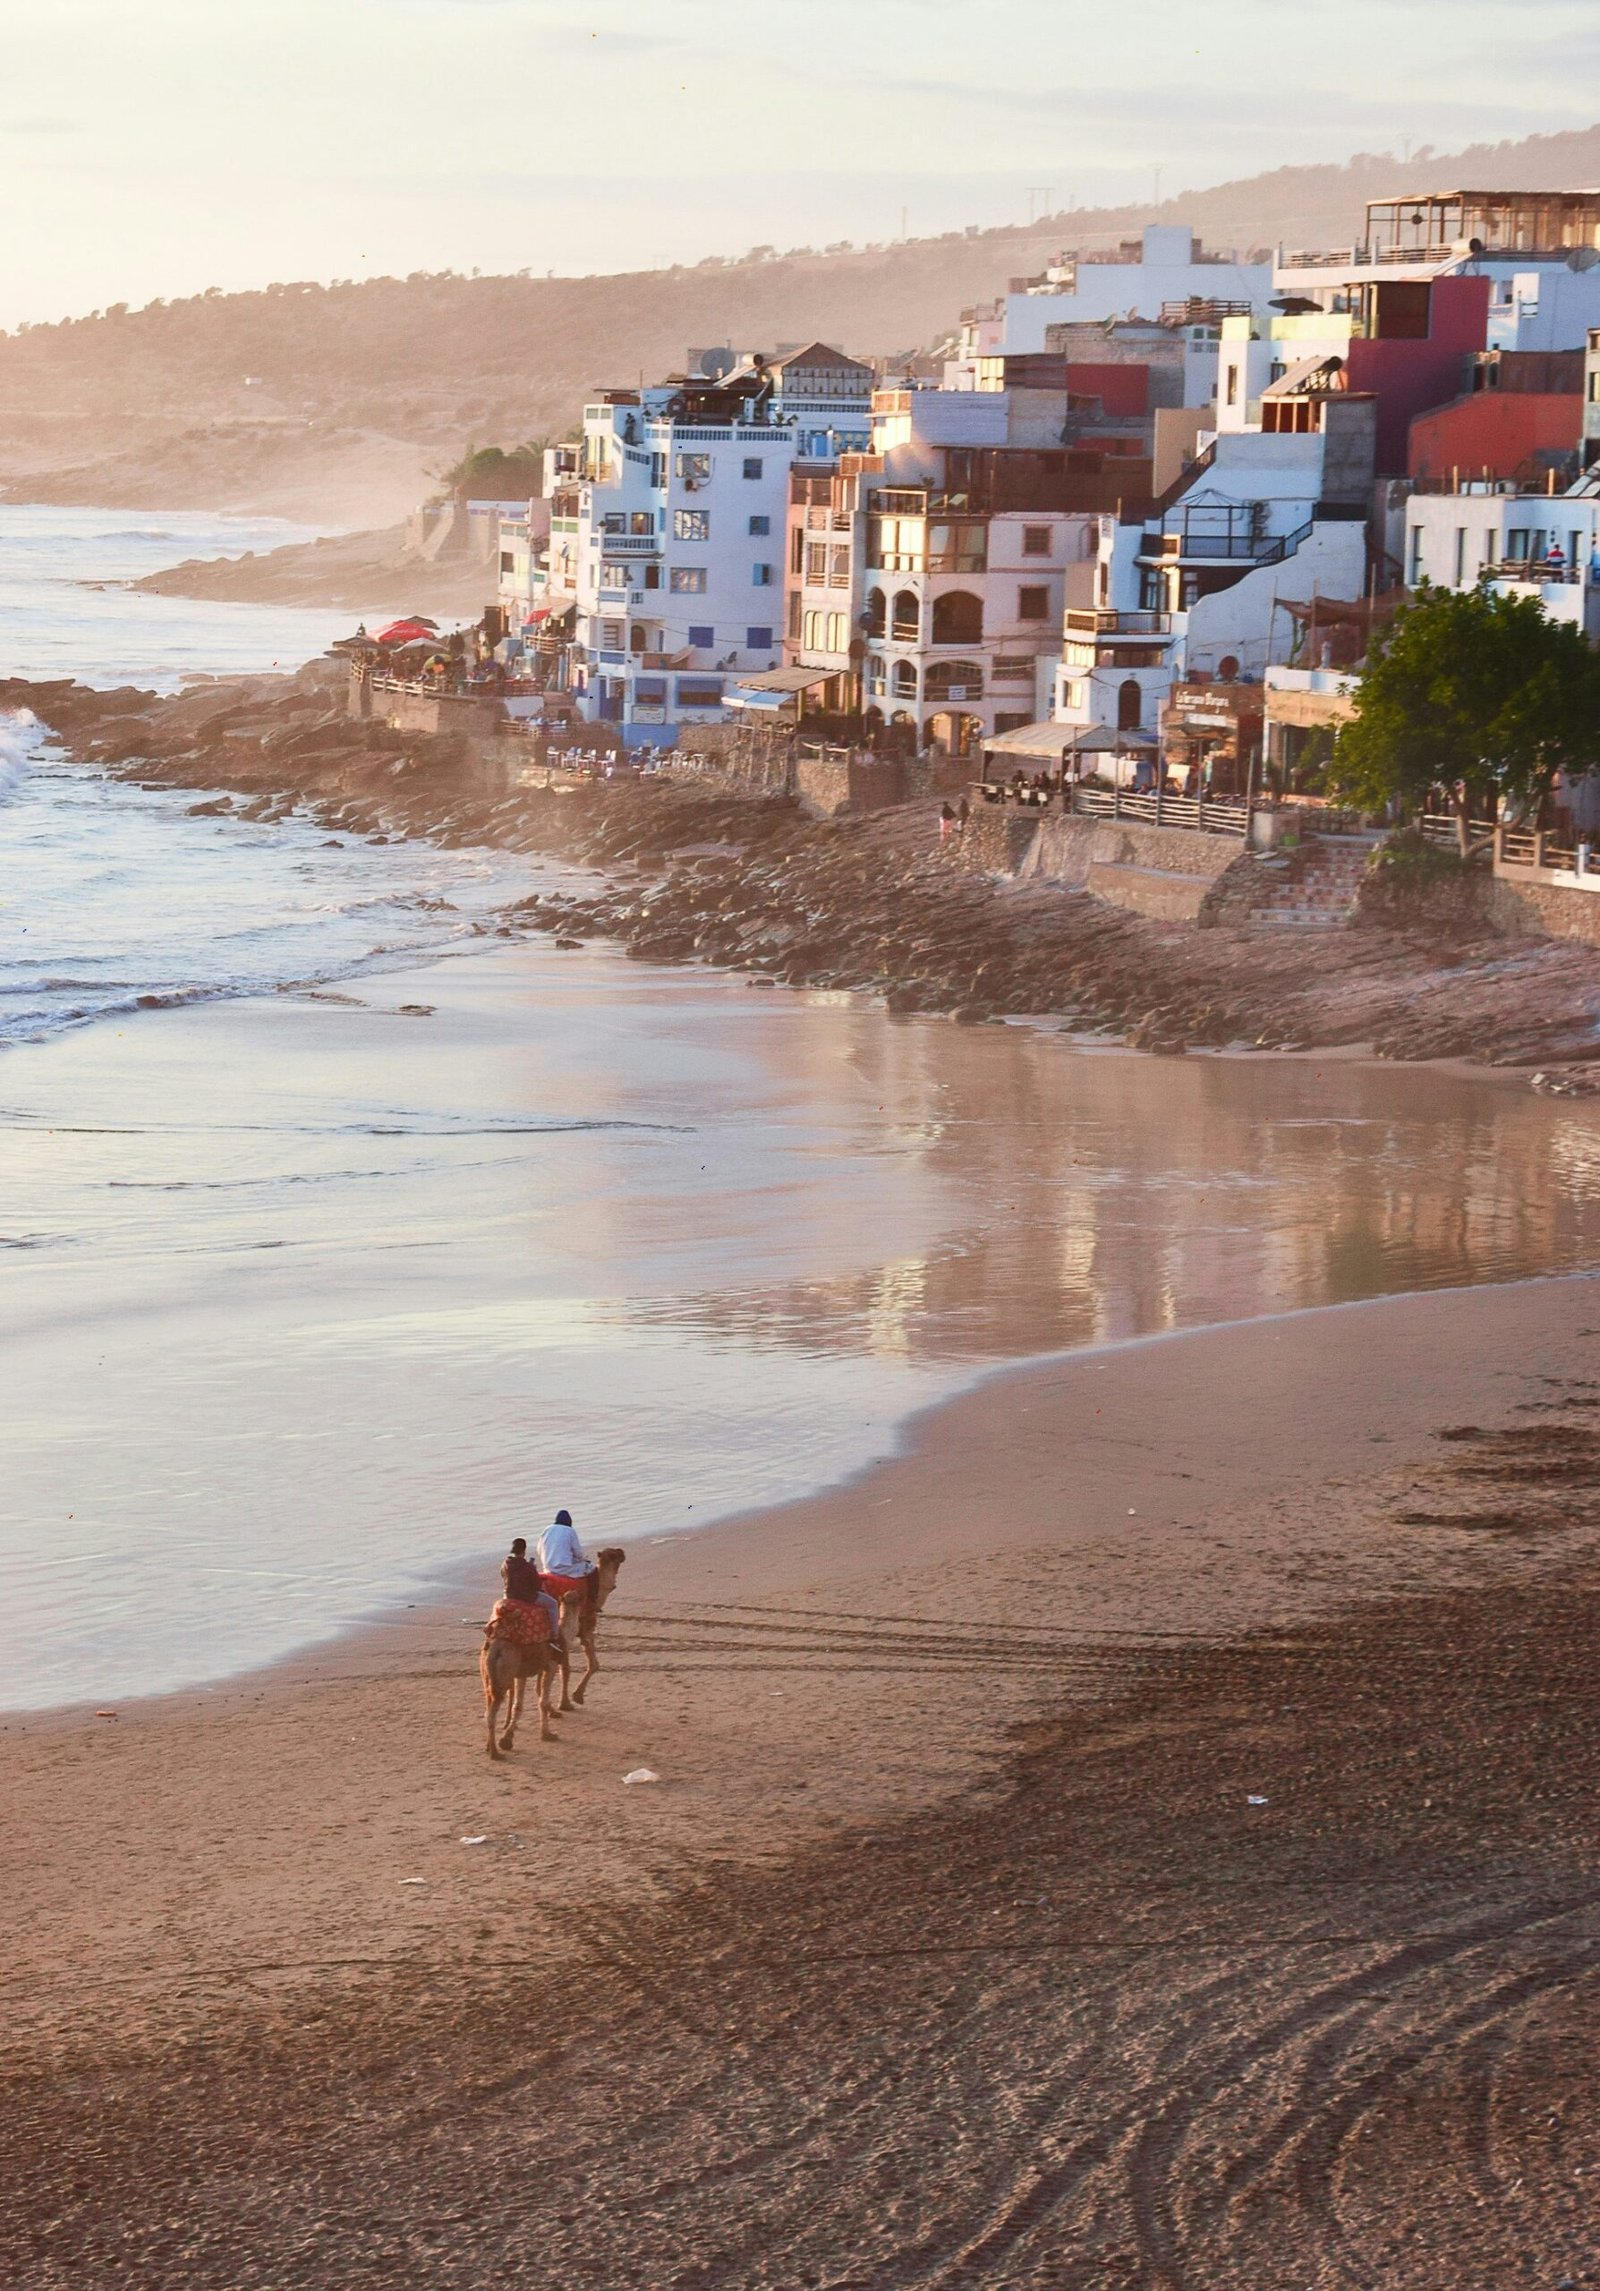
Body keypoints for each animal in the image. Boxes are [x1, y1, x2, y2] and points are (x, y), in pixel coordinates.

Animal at [551, 1546, 626, 1710]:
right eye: (615, 1554)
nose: (622, 1551)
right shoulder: (585, 1628)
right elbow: (590, 1665)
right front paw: (570, 1700)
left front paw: (572, 1699)